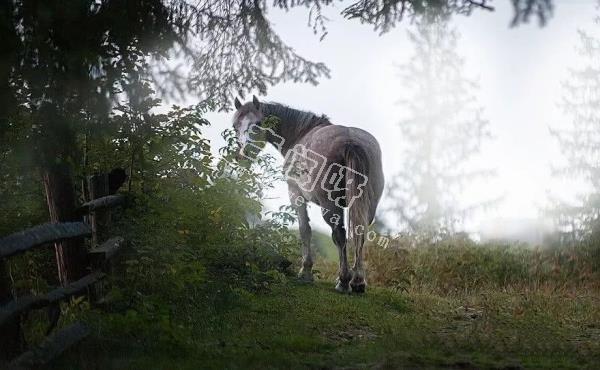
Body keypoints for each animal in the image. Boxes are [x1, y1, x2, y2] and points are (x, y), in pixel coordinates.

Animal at [230, 97, 384, 294]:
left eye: (257, 124)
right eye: (235, 126)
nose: (243, 156)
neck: (300, 134)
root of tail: (351, 141)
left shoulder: (295, 194)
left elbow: (305, 230)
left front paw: (306, 271)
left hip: (330, 206)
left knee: (340, 235)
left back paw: (343, 281)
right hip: (367, 207)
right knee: (359, 233)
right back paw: (357, 281)